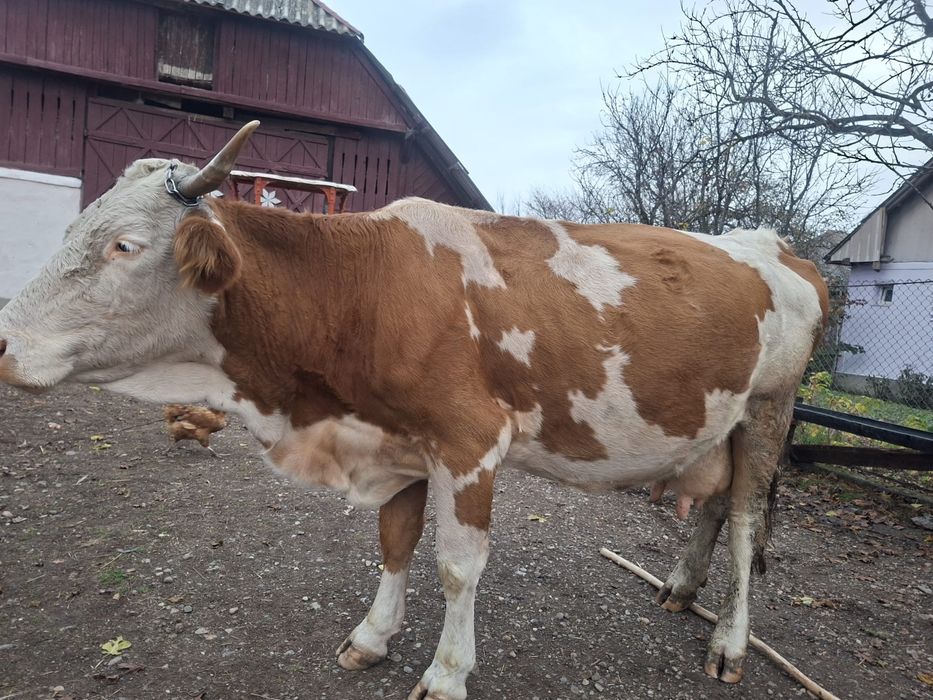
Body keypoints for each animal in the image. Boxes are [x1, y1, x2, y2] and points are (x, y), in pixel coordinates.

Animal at [0, 121, 828, 700]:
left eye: (123, 245)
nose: (4, 343)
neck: (362, 288)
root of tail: (774, 244)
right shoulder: (392, 438)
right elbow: (394, 541)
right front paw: (372, 636)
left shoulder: (470, 442)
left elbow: (457, 566)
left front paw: (447, 672)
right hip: (718, 421)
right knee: (713, 507)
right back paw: (680, 588)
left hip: (768, 410)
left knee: (744, 523)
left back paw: (729, 642)